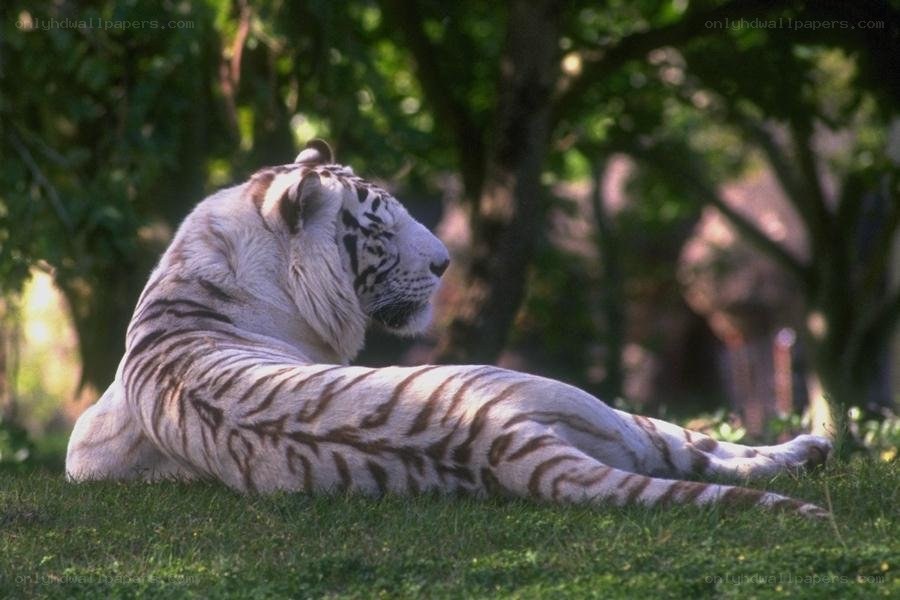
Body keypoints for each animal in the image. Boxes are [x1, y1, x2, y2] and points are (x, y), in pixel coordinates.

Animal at [66, 139, 833, 518]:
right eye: (379, 224)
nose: (445, 261)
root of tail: (492, 440)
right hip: (585, 404)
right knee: (691, 447)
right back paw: (812, 447)